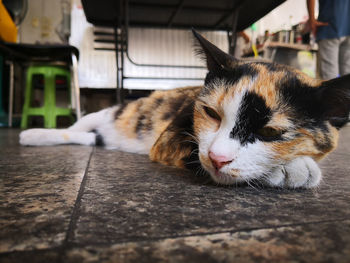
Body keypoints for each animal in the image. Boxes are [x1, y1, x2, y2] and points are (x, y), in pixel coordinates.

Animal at [19, 29, 350, 189]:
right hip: (105, 113)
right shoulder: (167, 140)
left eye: (270, 132)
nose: (217, 158)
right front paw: (292, 169)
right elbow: (194, 153)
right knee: (77, 128)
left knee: (91, 138)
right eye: (211, 113)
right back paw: (33, 134)